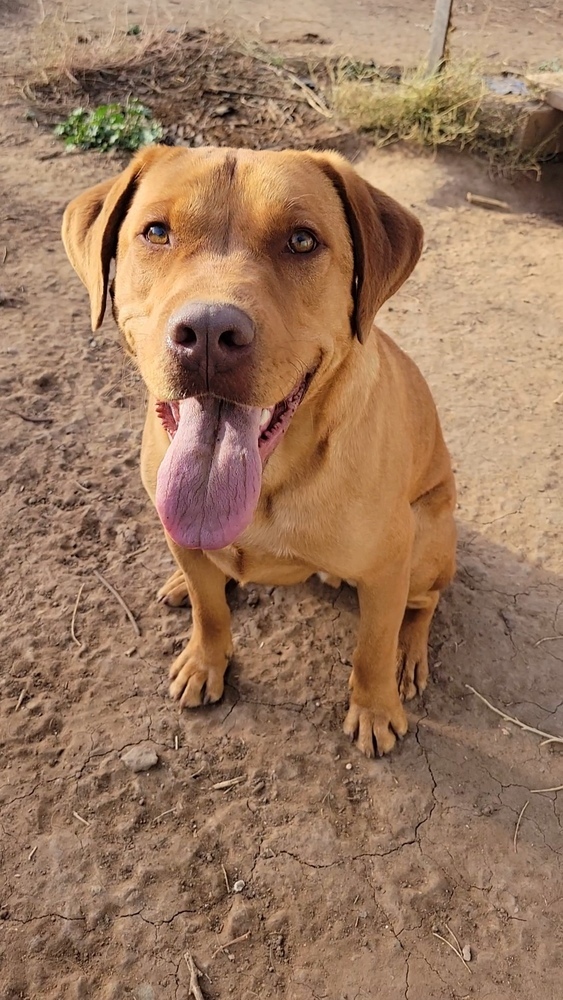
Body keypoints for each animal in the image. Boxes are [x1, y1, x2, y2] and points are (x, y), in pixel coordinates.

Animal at [62, 145, 458, 756]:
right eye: (156, 232)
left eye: (302, 240)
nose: (207, 333)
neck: (269, 477)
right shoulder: (182, 533)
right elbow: (210, 612)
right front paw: (206, 660)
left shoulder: (388, 564)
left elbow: (371, 646)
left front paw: (374, 707)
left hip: (428, 539)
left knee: (424, 604)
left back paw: (408, 655)